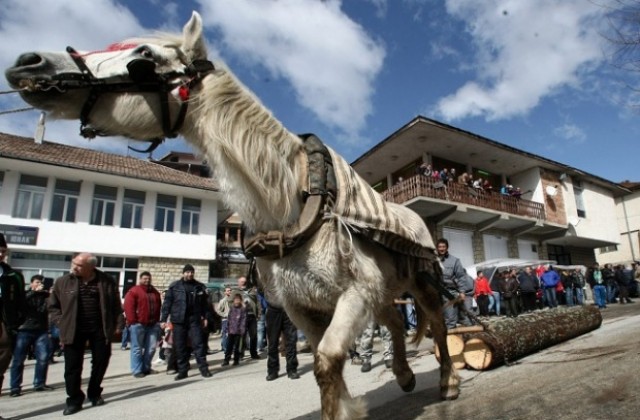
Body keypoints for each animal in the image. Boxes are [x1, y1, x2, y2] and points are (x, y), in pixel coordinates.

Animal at [3, 11, 456, 418]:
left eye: (144, 54)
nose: (29, 62)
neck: (292, 201)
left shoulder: (355, 293)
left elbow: (327, 361)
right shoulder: (302, 308)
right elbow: (327, 365)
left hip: (420, 286)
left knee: (436, 324)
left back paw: (448, 382)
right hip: (384, 293)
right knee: (395, 321)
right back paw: (404, 375)